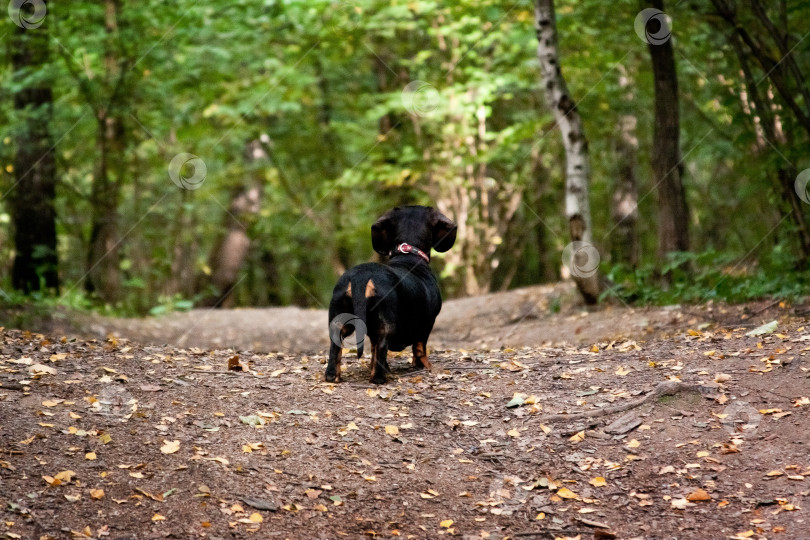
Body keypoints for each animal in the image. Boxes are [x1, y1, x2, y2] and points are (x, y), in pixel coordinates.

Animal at [326, 206, 458, 384]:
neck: (408, 257)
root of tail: (361, 277)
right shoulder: (427, 323)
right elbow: (420, 348)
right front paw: (425, 366)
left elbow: (373, 351)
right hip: (387, 326)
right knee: (383, 347)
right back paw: (380, 378)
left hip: (339, 321)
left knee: (336, 348)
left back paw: (334, 376)